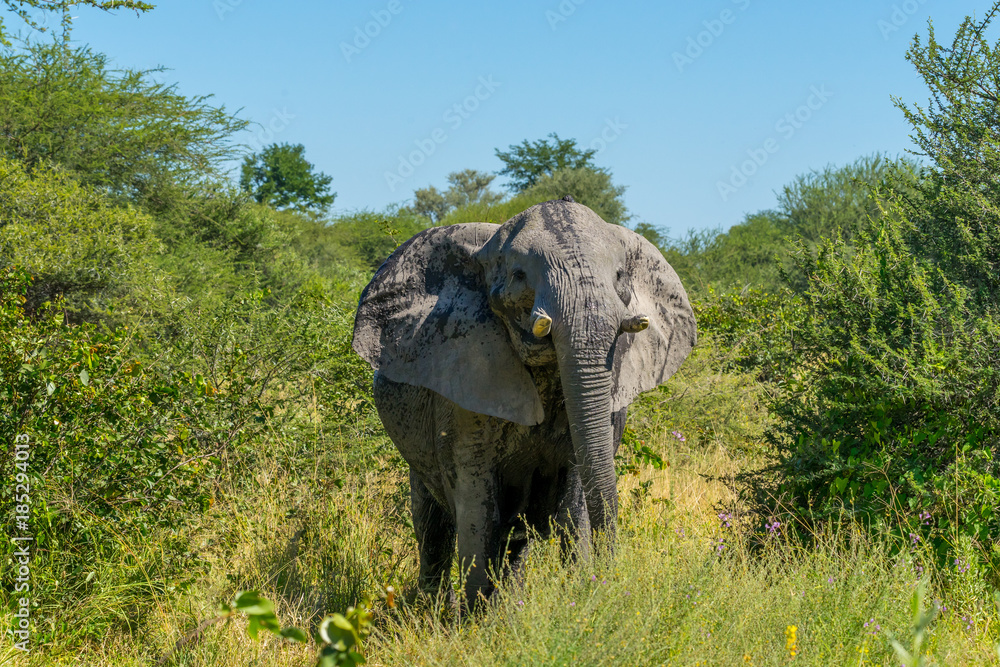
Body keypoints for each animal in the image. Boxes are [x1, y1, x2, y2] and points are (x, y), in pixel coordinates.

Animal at [352, 197, 696, 606]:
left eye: (619, 277)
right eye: (519, 275)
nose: (609, 578)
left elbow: (576, 494)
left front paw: (576, 595)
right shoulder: (463, 387)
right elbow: (477, 506)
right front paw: (476, 618)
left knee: (514, 539)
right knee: (433, 525)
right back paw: (435, 610)